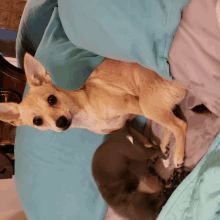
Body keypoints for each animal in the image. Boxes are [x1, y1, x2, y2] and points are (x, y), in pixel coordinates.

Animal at [0, 54, 186, 168]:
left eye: (52, 99)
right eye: (37, 121)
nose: (60, 122)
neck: (85, 111)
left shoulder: (133, 104)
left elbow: (170, 128)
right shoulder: (125, 125)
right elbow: (144, 139)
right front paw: (153, 150)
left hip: (148, 107)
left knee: (180, 125)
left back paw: (178, 156)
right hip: (158, 108)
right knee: (171, 125)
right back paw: (164, 146)